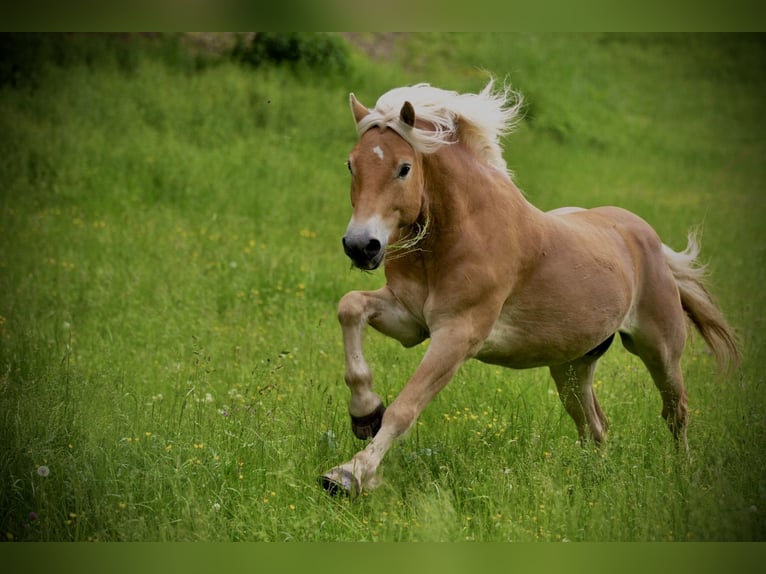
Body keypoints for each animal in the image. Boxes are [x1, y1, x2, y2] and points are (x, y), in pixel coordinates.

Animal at [320, 80, 740, 495]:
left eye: (404, 168)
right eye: (351, 164)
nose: (361, 246)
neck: (458, 234)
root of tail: (647, 238)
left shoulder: (458, 333)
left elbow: (405, 407)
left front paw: (348, 474)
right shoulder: (409, 321)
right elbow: (350, 306)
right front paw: (364, 413)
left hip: (659, 350)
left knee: (675, 413)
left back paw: (682, 474)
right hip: (571, 366)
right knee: (595, 426)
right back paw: (590, 484)